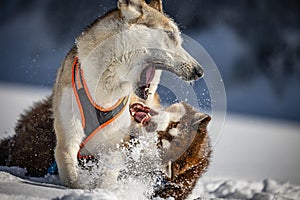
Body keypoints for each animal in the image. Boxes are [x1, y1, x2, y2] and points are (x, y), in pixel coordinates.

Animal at [53, 0, 204, 189]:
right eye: (170, 34)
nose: (199, 71)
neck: (105, 90)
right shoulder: (68, 137)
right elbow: (70, 172)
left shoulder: (116, 145)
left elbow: (109, 176)